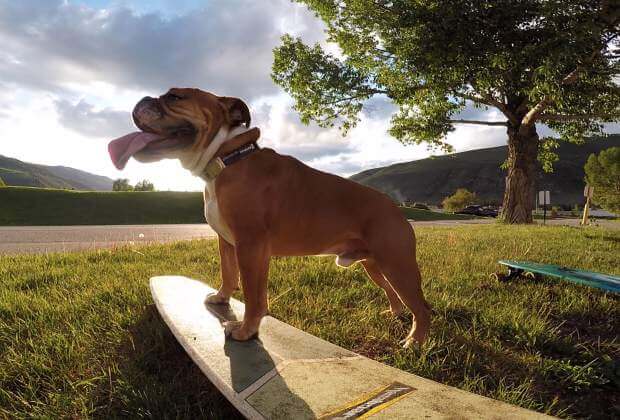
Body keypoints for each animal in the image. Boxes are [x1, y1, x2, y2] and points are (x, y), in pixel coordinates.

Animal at [109, 87, 432, 346]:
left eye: (176, 96)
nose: (141, 100)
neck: (225, 159)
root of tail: (394, 206)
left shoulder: (251, 247)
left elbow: (254, 296)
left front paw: (246, 330)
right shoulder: (227, 242)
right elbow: (228, 274)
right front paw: (222, 298)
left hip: (397, 265)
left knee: (422, 307)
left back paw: (414, 342)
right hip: (374, 266)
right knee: (393, 293)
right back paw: (395, 315)